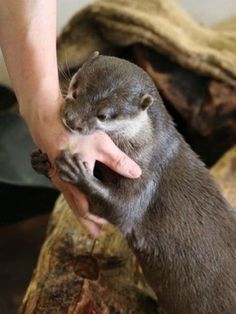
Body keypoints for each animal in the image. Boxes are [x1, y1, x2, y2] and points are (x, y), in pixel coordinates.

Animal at [31, 52, 236, 312]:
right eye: (76, 90)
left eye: (104, 115)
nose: (72, 121)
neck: (148, 145)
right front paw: (41, 161)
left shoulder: (147, 175)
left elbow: (123, 210)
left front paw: (77, 172)